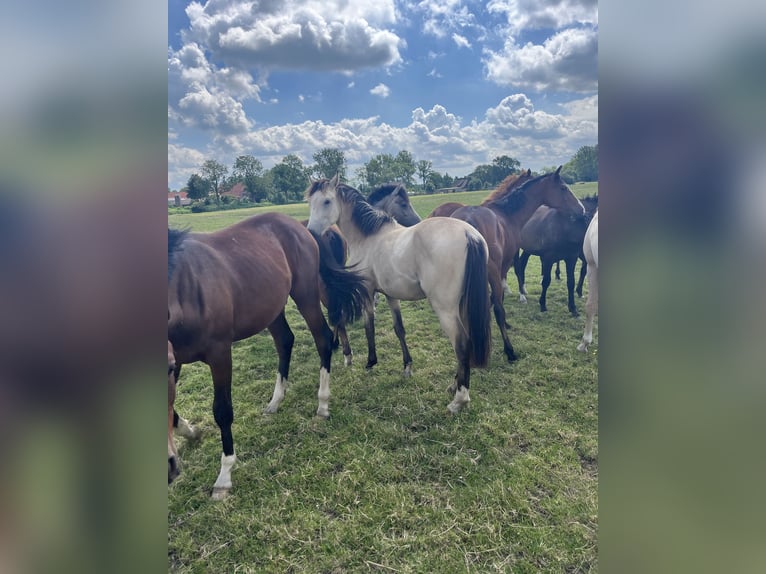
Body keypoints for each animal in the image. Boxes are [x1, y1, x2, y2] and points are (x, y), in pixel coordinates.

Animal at [169, 214, 372, 498]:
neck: (183, 289)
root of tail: (300, 226)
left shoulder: (219, 353)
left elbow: (222, 410)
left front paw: (224, 475)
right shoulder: (173, 360)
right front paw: (192, 432)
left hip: (306, 293)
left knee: (322, 339)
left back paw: (322, 404)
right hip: (273, 307)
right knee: (285, 341)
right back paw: (276, 401)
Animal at [306, 176, 492, 414]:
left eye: (327, 201)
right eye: (311, 202)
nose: (311, 232)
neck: (369, 237)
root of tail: (469, 234)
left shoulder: (367, 292)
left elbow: (369, 326)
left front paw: (370, 362)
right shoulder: (390, 295)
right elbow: (399, 329)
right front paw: (407, 367)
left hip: (446, 310)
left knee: (461, 345)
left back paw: (459, 400)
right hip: (462, 306)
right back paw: (453, 385)